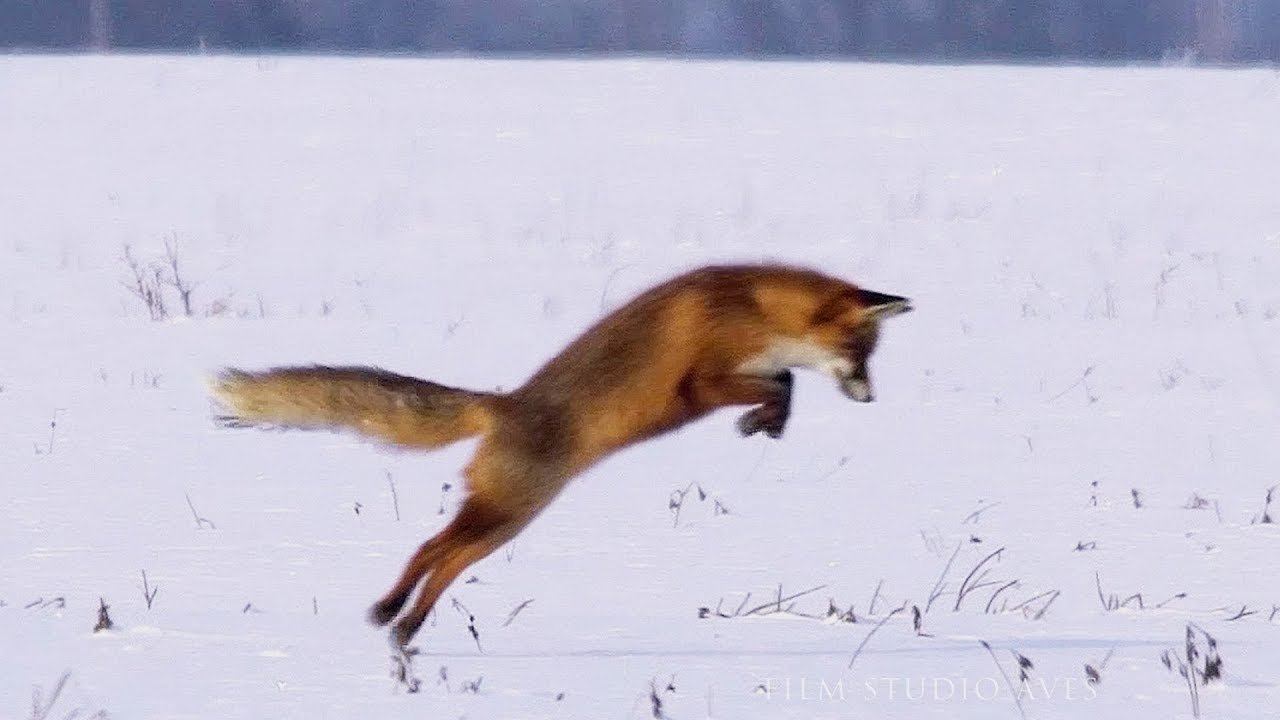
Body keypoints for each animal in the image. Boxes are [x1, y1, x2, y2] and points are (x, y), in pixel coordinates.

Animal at [210, 263, 911, 647]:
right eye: (861, 353)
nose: (873, 398)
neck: (757, 308)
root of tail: (506, 405)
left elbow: (784, 384)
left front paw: (767, 426)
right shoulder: (699, 382)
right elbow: (783, 381)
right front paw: (761, 420)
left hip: (505, 517)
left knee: (437, 555)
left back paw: (399, 620)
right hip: (508, 513)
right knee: (436, 553)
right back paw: (398, 619)